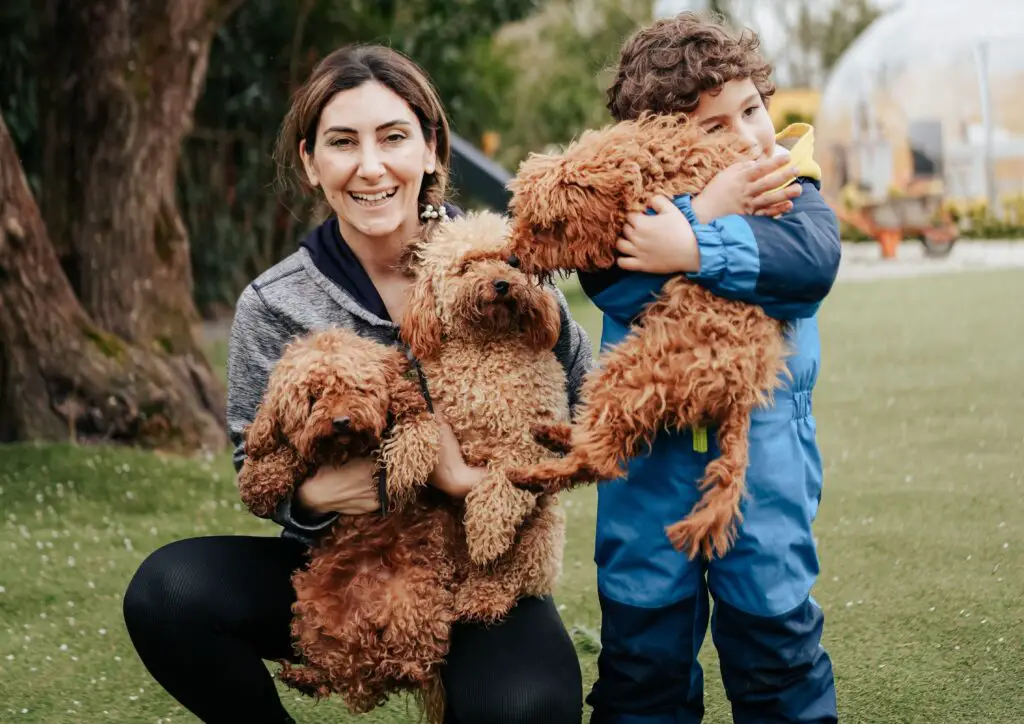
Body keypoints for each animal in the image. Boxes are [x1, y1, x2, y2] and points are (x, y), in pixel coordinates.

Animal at [237, 329, 454, 720]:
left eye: (356, 388)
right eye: (313, 397)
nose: (340, 421)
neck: (347, 450)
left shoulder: (410, 410)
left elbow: (415, 424)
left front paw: (404, 460)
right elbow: (285, 450)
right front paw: (259, 479)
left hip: (413, 601)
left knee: (415, 661)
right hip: (311, 610)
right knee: (340, 672)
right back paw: (305, 676)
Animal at [389, 209, 569, 622]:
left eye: (512, 261)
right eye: (466, 265)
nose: (502, 283)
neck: (484, 347)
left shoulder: (527, 440)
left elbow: (500, 485)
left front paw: (486, 532)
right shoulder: (431, 397)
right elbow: (418, 418)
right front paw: (404, 460)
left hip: (541, 535)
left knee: (504, 574)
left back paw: (481, 596)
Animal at [505, 113, 790, 561]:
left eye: (546, 227)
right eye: (523, 217)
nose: (512, 258)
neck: (643, 168)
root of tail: (739, 390)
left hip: (630, 371)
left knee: (601, 459)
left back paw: (531, 473)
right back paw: (554, 435)